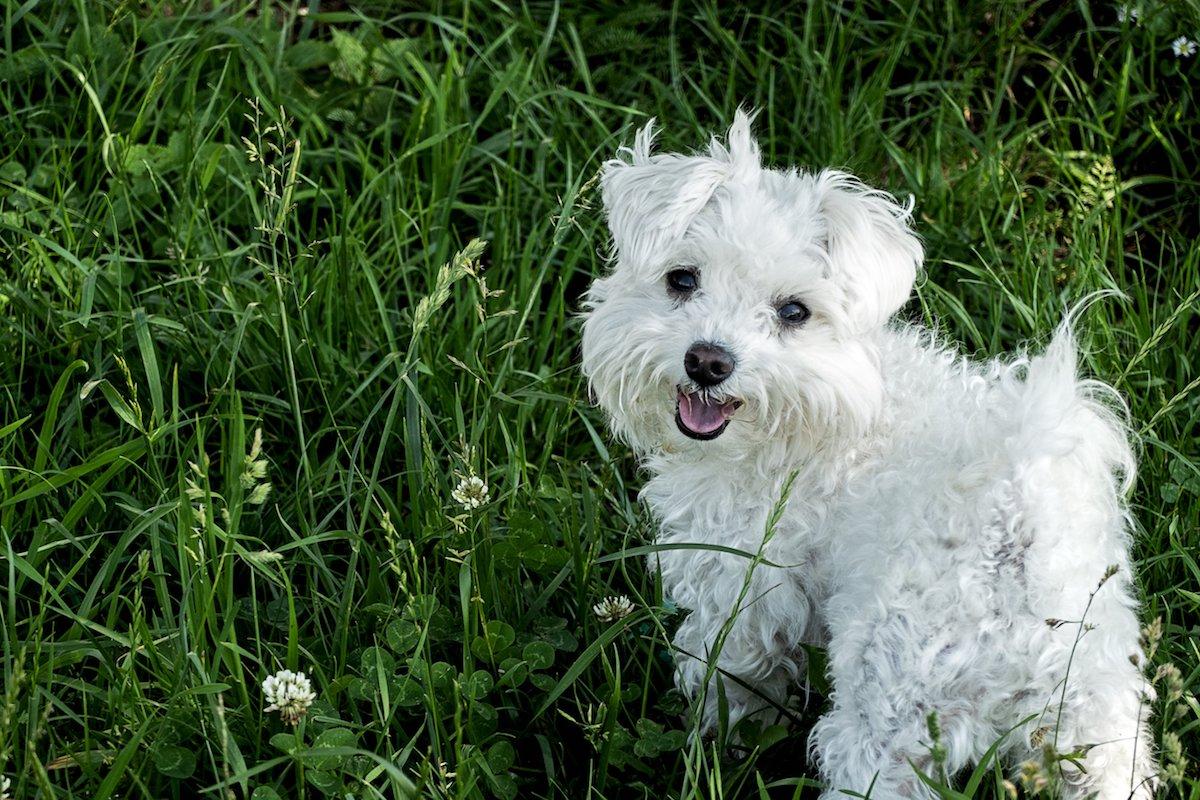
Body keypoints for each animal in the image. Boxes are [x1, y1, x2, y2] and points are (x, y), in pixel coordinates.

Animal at [583, 113, 1161, 800]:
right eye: (682, 279)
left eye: (794, 312)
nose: (708, 362)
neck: (833, 406)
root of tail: (1014, 543)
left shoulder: (745, 587)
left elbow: (734, 677)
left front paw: (719, 742)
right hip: (1096, 723)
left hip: (889, 722)